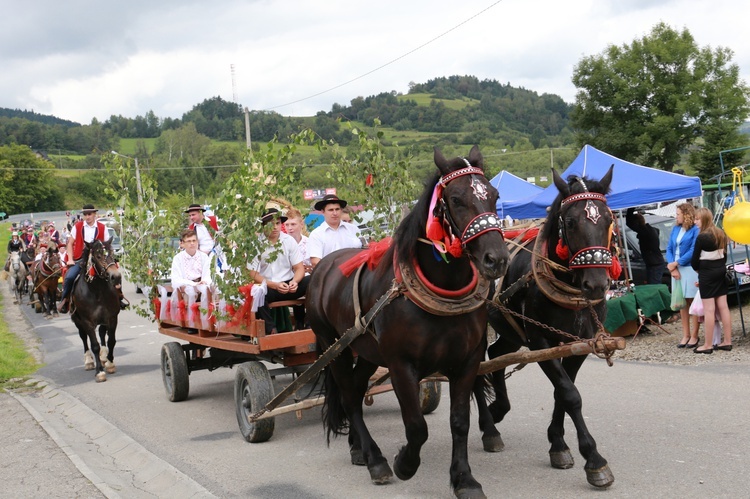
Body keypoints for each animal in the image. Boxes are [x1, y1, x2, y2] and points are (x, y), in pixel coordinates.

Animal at [72, 240, 123, 384]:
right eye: (98, 256)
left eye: (112, 254)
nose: (116, 277)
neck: (97, 292)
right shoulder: (87, 322)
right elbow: (94, 345)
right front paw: (99, 372)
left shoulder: (112, 318)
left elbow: (111, 341)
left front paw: (110, 364)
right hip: (78, 321)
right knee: (84, 337)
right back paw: (89, 361)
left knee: (101, 333)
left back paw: (104, 357)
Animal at [306, 146, 512, 499]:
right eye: (455, 199)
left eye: (495, 196)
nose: (496, 259)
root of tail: (323, 268)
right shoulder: (401, 363)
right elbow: (417, 426)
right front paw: (405, 463)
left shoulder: (468, 359)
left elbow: (459, 421)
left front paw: (464, 479)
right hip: (335, 348)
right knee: (349, 397)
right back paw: (374, 459)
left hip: (366, 351)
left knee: (356, 391)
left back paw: (357, 448)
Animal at [478, 167, 620, 488]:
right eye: (570, 221)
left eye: (608, 219)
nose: (596, 285)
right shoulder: (540, 341)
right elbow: (570, 394)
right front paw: (594, 459)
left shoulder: (579, 344)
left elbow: (562, 392)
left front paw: (557, 444)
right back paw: (488, 427)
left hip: (510, 332)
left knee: (496, 354)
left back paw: (499, 409)